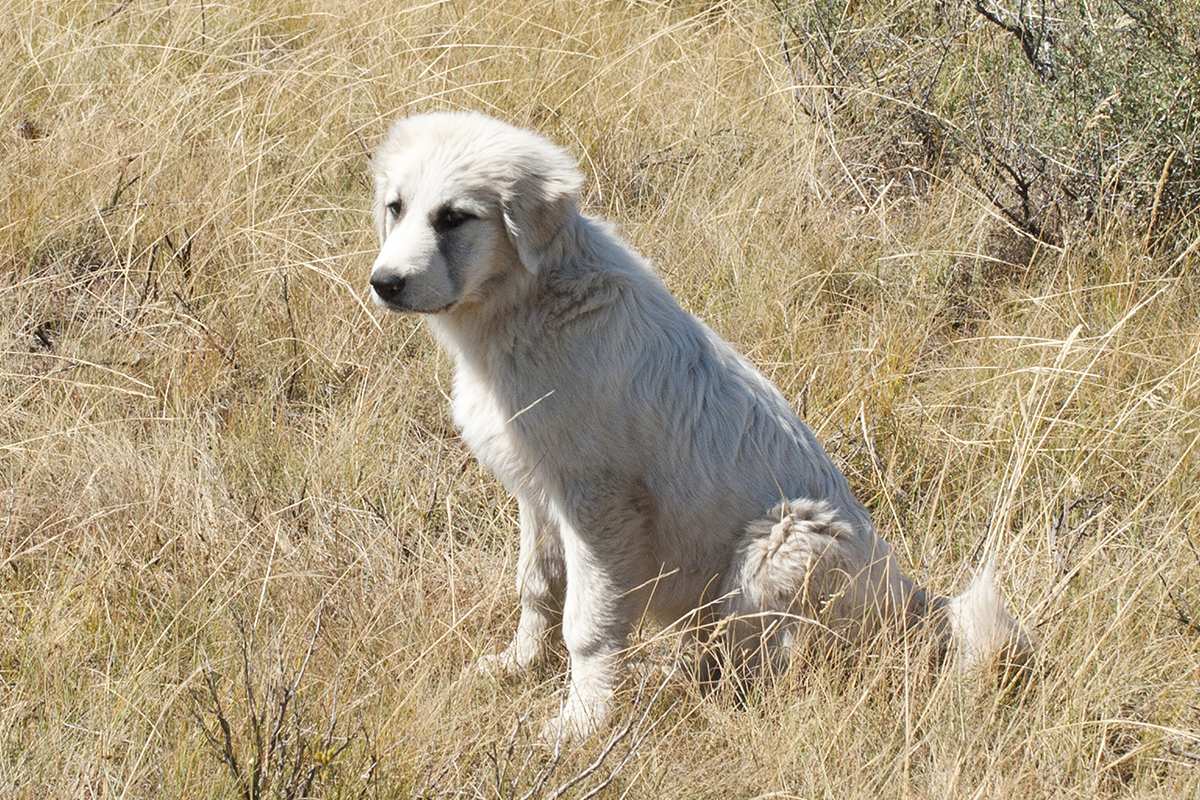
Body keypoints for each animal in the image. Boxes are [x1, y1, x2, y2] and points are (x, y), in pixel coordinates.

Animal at [367, 109, 1032, 743]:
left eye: (455, 218)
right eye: (396, 208)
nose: (384, 284)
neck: (528, 304)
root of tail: (914, 602)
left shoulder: (600, 507)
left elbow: (588, 622)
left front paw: (584, 722)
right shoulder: (538, 494)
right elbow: (536, 588)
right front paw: (518, 666)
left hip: (779, 544)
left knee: (767, 671)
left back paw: (676, 681)